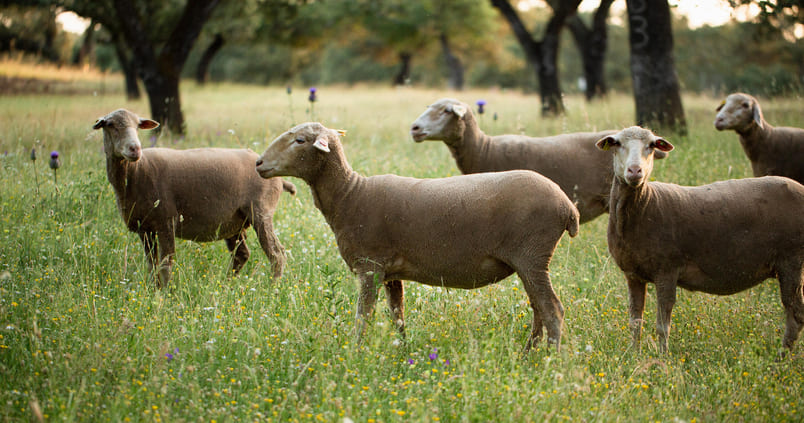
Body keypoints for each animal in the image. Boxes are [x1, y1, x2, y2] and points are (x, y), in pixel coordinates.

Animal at [93, 108, 296, 287]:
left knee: (277, 254)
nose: (135, 149)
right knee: (241, 254)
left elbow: (165, 264)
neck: (137, 171)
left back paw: (272, 287)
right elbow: (152, 264)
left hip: (261, 211)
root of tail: (278, 177)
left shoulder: (166, 221)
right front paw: (153, 290)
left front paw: (163, 295)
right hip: (234, 222)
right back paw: (226, 286)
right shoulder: (145, 228)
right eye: (110, 125)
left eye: (137, 126)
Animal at [255, 122, 580, 351]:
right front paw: (403, 351)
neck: (350, 194)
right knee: (539, 309)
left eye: (299, 140)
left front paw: (355, 353)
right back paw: (528, 353)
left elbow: (364, 316)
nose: (258, 163)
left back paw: (550, 360)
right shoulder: (390, 272)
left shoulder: (370, 265)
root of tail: (567, 206)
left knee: (553, 310)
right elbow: (397, 314)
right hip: (529, 262)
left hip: (532, 255)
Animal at [597, 126, 804, 353]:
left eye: (651, 146)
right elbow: (635, 322)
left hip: (791, 260)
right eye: (617, 143)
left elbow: (662, 326)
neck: (646, 205)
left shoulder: (667, 271)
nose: (635, 171)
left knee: (795, 315)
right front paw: (634, 354)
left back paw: (782, 356)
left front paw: (662, 358)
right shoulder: (633, 275)